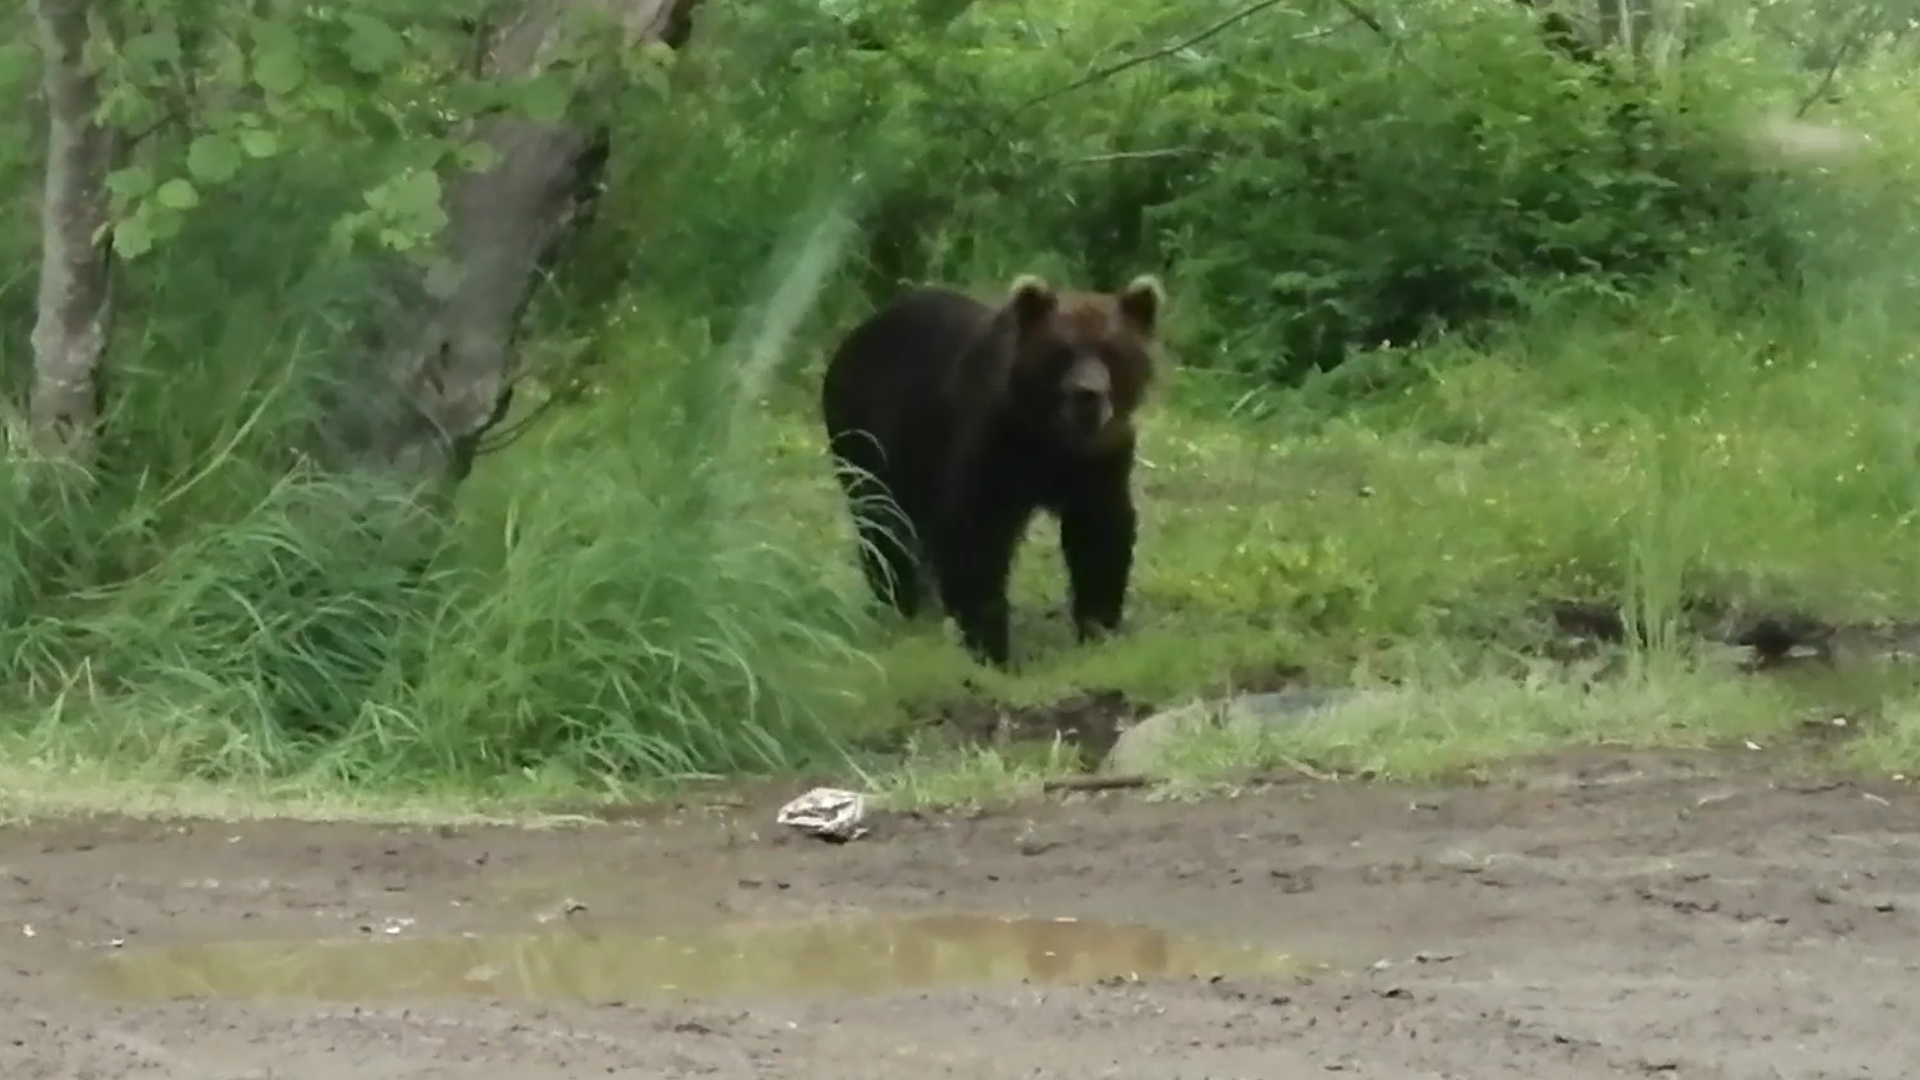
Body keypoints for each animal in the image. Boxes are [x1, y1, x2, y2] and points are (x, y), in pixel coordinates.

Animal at [817, 269, 1159, 664]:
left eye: (1111, 350)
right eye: (1062, 351)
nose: (1087, 394)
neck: (1049, 436)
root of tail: (853, 336)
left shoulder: (1099, 461)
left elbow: (1100, 532)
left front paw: (1098, 625)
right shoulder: (991, 446)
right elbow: (976, 533)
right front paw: (991, 644)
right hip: (869, 434)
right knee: (883, 520)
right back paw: (900, 600)